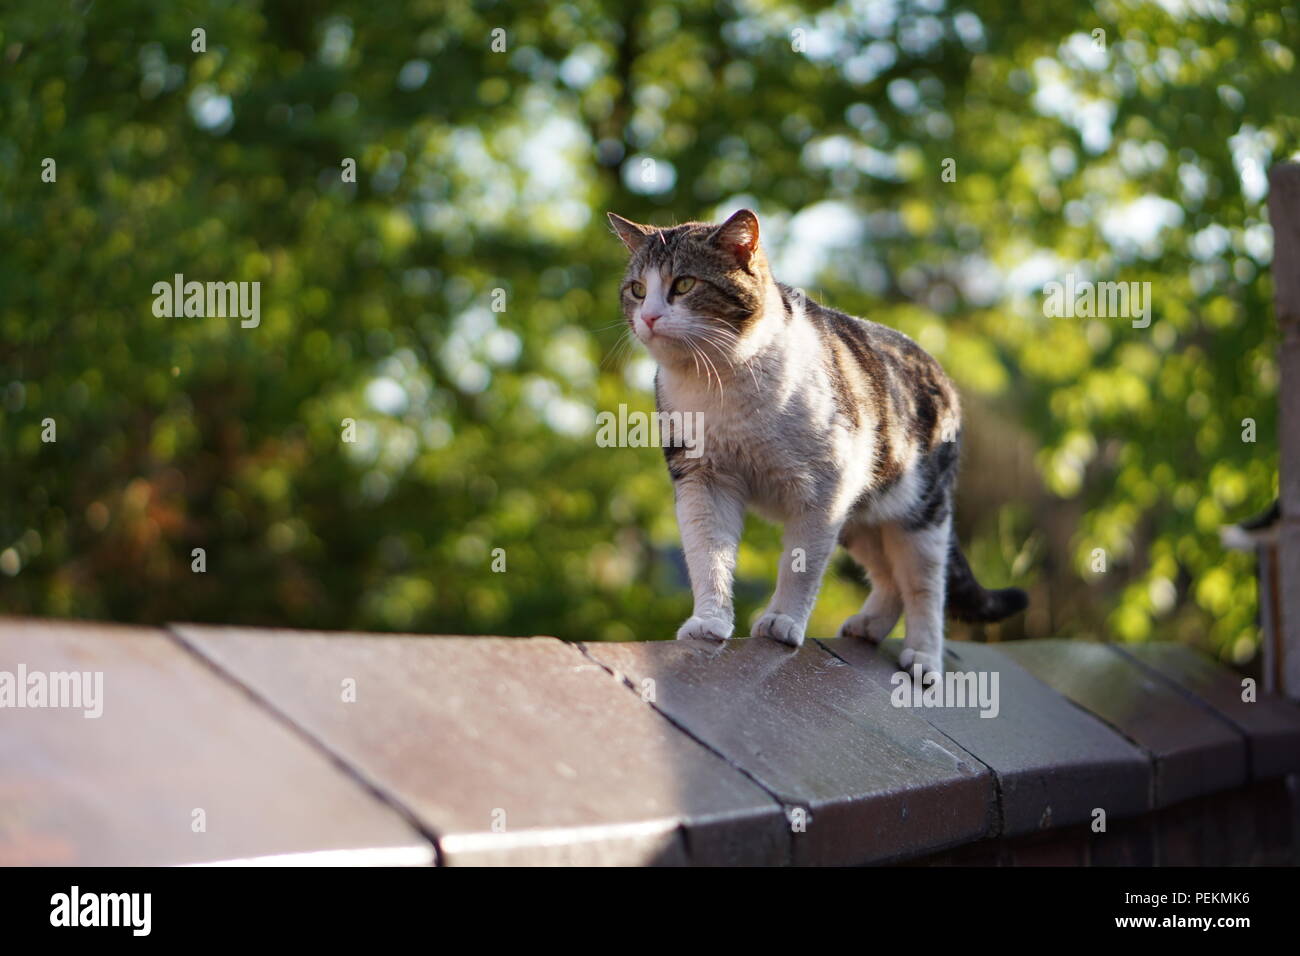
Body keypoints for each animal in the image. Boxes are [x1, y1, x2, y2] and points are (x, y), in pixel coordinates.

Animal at [605, 209, 1024, 676]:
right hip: (861, 519)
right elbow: (708, 555)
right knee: (890, 578)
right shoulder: (703, 478)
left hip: (921, 515)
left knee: (925, 586)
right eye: (637, 290)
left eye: (683, 284)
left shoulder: (824, 489)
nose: (648, 318)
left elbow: (800, 565)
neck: (721, 380)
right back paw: (868, 626)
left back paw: (924, 659)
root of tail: (938, 368)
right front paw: (708, 622)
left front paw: (782, 622)